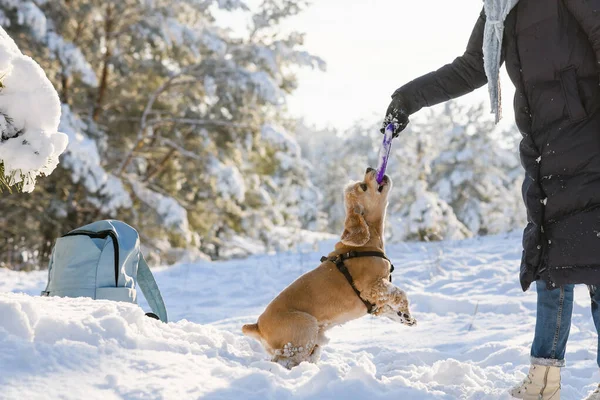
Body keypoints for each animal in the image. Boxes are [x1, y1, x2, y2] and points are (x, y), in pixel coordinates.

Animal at [241, 167, 414, 368]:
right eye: (363, 186)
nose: (370, 168)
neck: (366, 243)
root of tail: (258, 326)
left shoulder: (377, 300)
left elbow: (389, 308)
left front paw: (405, 318)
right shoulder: (373, 285)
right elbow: (400, 293)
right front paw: (407, 314)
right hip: (305, 328)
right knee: (284, 361)